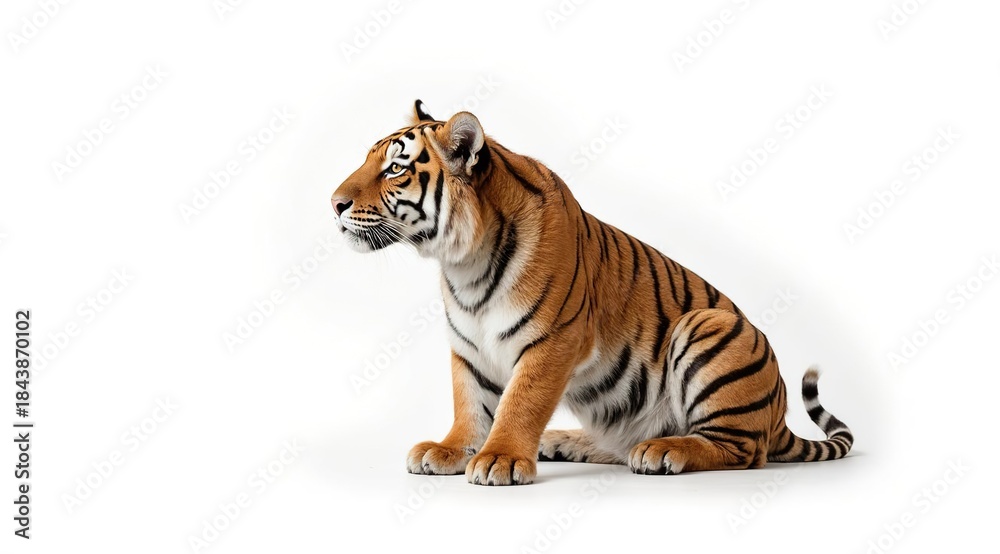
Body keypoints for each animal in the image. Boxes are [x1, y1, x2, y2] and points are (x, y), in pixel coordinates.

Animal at [330, 100, 853, 486]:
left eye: (394, 170)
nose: (334, 203)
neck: (463, 263)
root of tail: (778, 415)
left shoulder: (552, 339)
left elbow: (521, 401)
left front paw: (500, 458)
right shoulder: (468, 346)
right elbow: (470, 403)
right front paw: (450, 449)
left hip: (709, 327)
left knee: (741, 450)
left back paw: (662, 450)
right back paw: (564, 442)